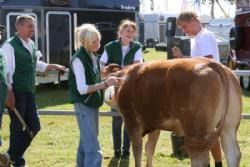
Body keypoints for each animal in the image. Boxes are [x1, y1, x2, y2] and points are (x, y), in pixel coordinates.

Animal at [102, 57, 242, 167]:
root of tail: (210, 63)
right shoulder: (155, 125)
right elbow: (149, 149)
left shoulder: (131, 122)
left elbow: (138, 152)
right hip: (228, 127)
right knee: (233, 154)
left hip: (196, 132)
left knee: (201, 159)